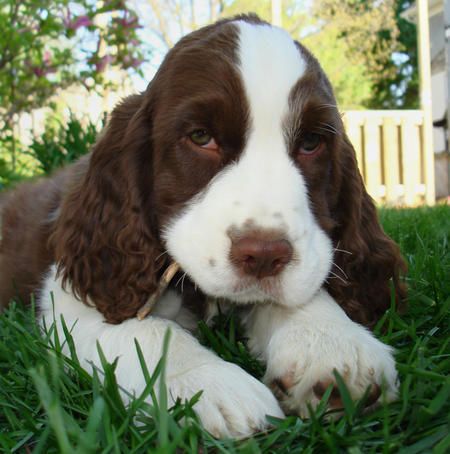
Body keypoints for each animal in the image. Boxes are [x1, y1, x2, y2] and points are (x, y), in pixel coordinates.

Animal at [0, 15, 406, 438]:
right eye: (200, 137)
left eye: (311, 142)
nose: (264, 256)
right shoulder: (74, 293)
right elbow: (145, 330)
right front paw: (210, 383)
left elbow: (306, 287)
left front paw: (334, 346)